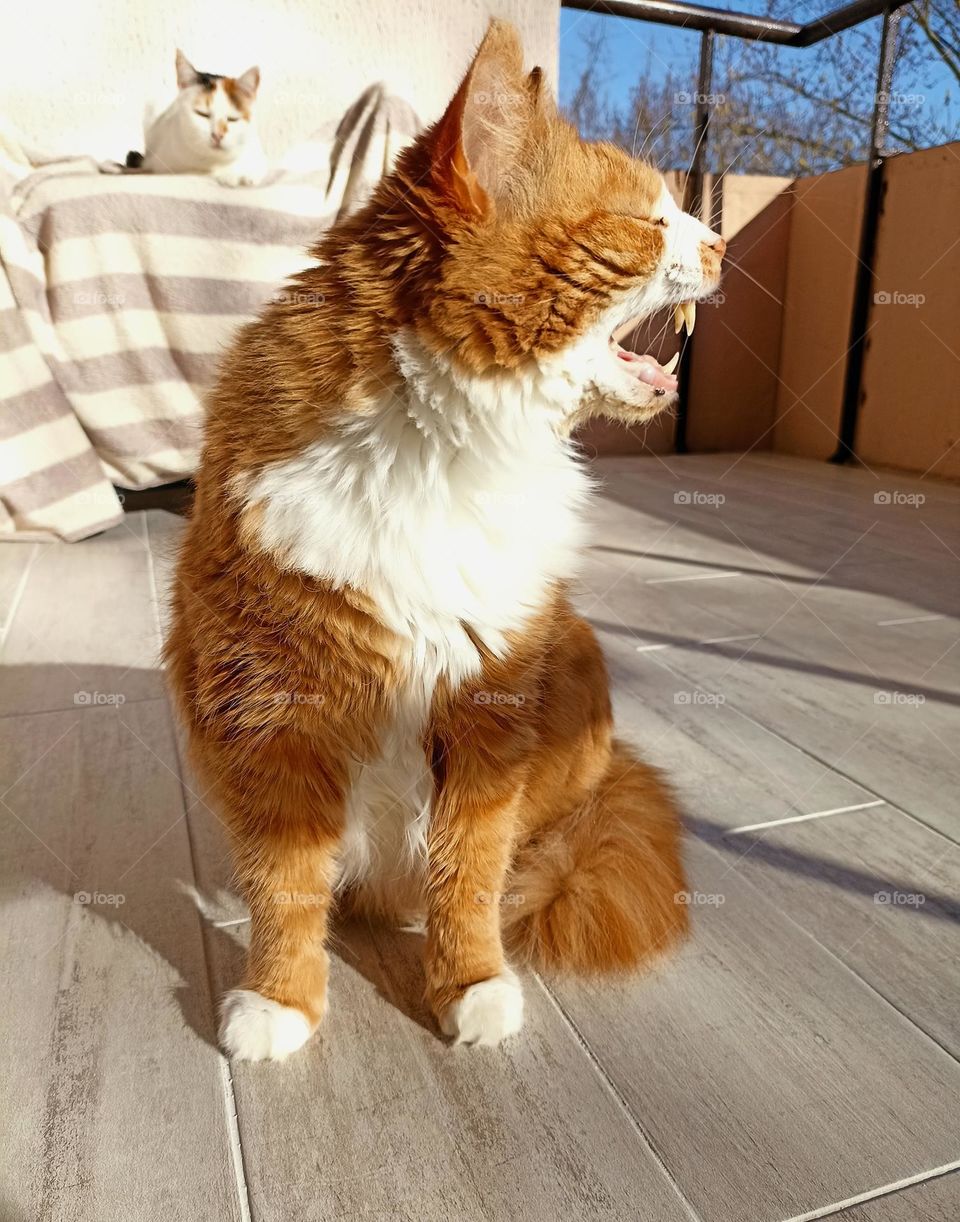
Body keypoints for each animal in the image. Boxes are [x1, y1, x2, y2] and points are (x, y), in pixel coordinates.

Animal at [126, 50, 265, 185]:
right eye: (202, 114)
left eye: (232, 119)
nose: (217, 135)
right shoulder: (162, 165)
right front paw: (229, 177)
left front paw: (241, 176)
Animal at [164, 23, 723, 1065]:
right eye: (648, 220)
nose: (719, 240)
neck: (445, 446)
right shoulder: (268, 712)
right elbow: (285, 888)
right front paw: (281, 1002)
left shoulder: (488, 705)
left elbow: (469, 871)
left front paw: (470, 986)